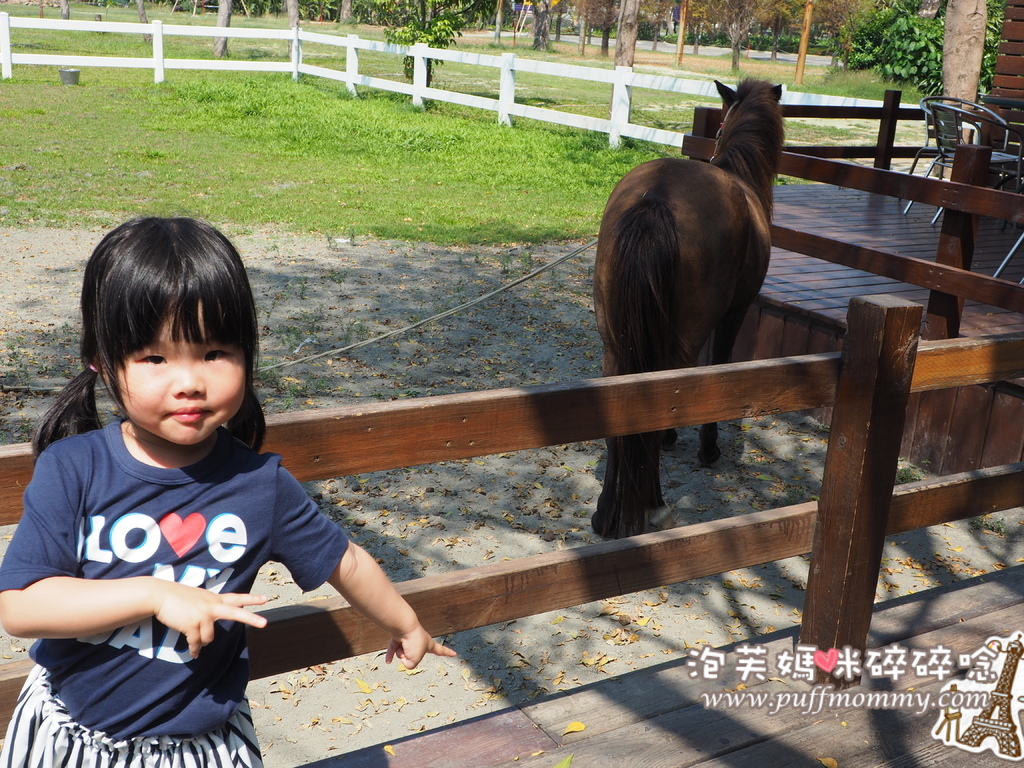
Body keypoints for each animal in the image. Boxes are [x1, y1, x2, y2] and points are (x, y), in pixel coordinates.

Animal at [593, 76, 782, 536]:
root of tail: (656, 200)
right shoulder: (734, 315)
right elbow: (717, 369)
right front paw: (707, 447)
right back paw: (653, 504)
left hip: (614, 340)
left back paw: (606, 513)